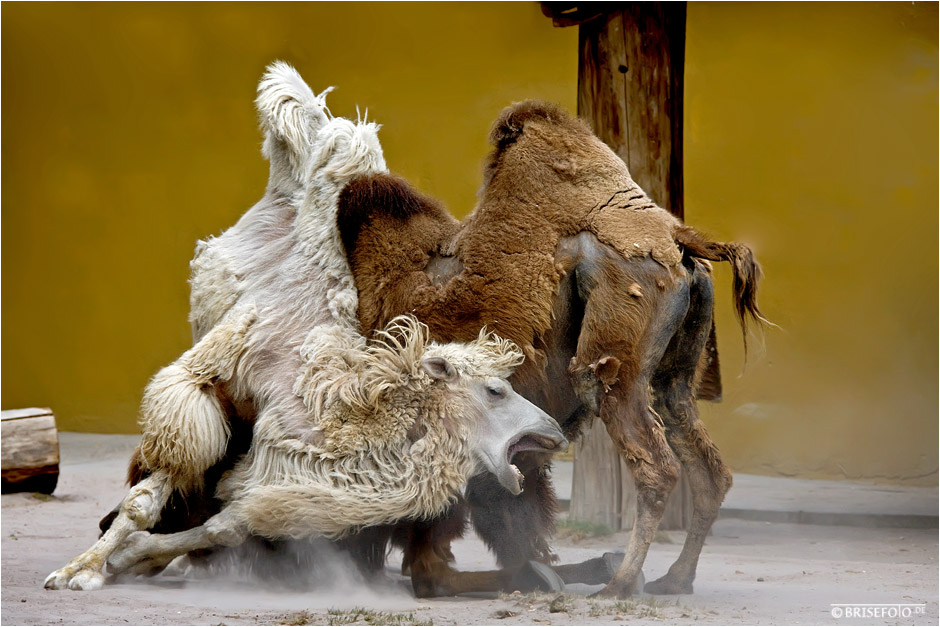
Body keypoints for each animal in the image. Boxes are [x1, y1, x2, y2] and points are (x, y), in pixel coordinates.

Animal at [334, 100, 768, 600]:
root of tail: (679, 240)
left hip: (609, 365)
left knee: (655, 466)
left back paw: (619, 584)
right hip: (672, 376)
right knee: (707, 467)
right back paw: (671, 578)